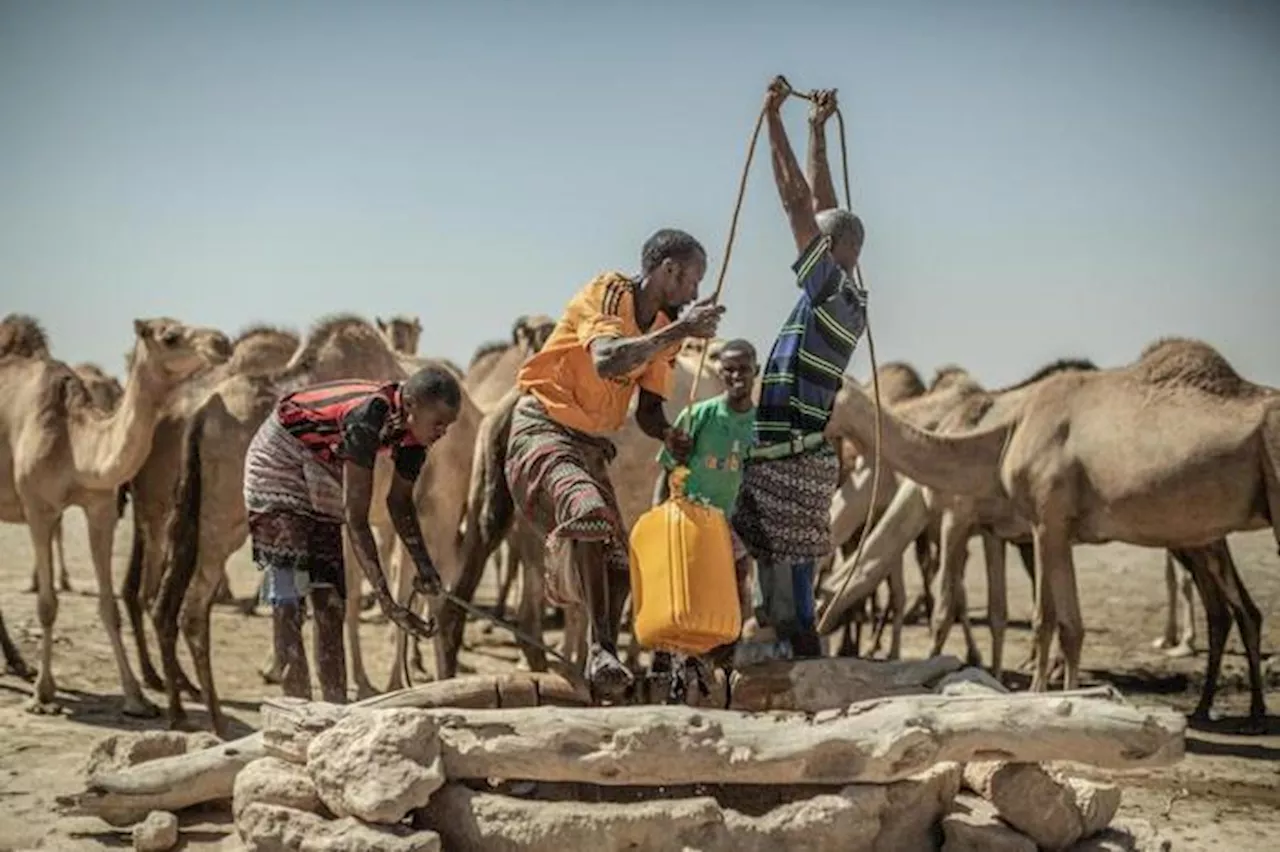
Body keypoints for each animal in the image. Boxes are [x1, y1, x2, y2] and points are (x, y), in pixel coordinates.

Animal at [0, 314, 232, 711]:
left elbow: (109, 607)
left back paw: (18, 663)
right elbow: (47, 605)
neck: (74, 443)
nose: (222, 342)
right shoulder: (38, 509)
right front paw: (43, 693)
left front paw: (137, 698)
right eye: (170, 336)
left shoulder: (101, 509)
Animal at [149, 313, 481, 731]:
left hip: (198, 512)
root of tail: (200, 415)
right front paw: (431, 682)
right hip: (228, 518)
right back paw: (219, 720)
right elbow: (426, 595)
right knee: (195, 609)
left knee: (169, 602)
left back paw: (181, 711)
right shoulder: (432, 505)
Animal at [824, 335, 1274, 721]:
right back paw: (1232, 707)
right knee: (1230, 609)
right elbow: (1045, 618)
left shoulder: (1003, 520)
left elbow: (1015, 616)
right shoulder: (1024, 528)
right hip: (1199, 533)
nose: (820, 626)